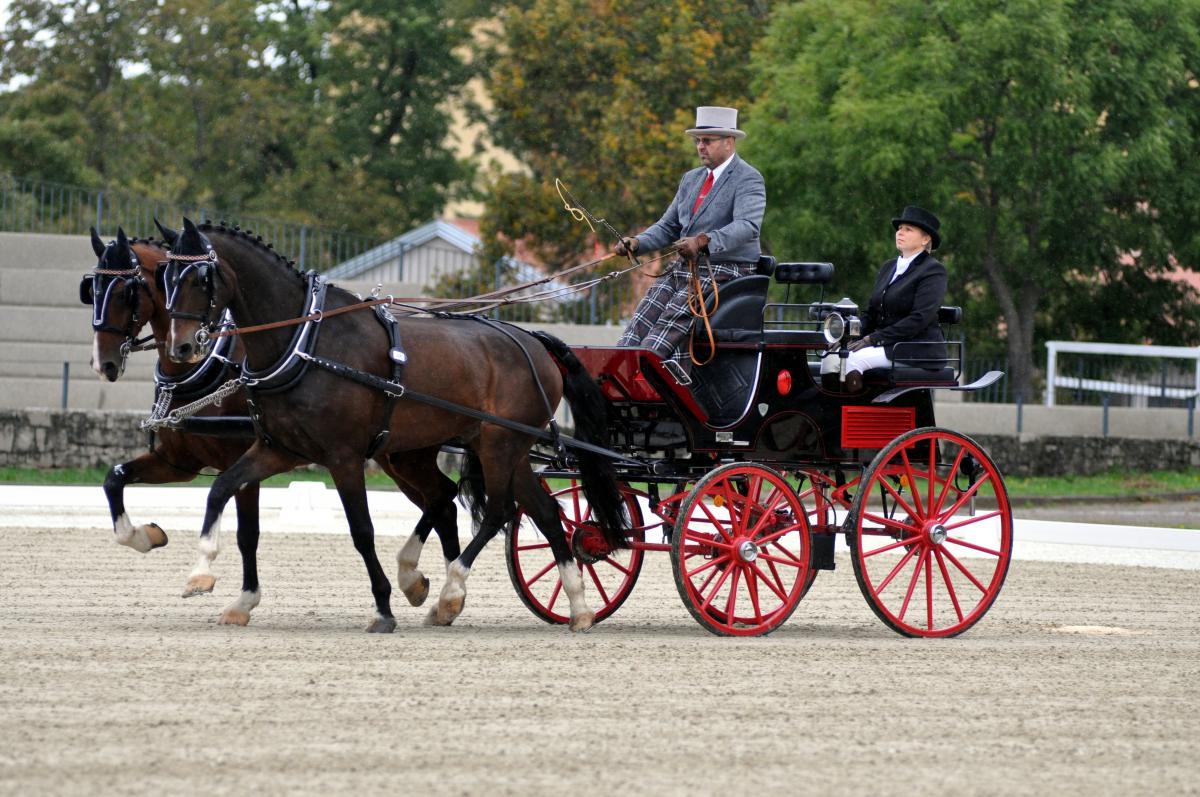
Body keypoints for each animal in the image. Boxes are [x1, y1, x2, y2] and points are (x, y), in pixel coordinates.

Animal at [81, 225, 463, 628]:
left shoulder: (245, 458)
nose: (103, 363)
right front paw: (145, 536)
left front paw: (239, 597)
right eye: (91, 290)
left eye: (126, 290)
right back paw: (438, 593)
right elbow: (114, 479)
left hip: (403, 457)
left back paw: (434, 586)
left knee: (442, 500)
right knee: (444, 503)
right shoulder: (178, 463)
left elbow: (248, 532)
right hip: (400, 457)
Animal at [162, 216, 628, 628]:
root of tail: (534, 342)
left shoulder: (344, 457)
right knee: (544, 513)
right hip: (500, 449)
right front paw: (202, 575)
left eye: (200, 278)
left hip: (499, 444)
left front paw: (383, 609)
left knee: (498, 512)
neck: (305, 343)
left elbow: (362, 530)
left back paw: (451, 592)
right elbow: (220, 489)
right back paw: (579, 608)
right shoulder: (278, 449)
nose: (182, 347)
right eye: (166, 275)